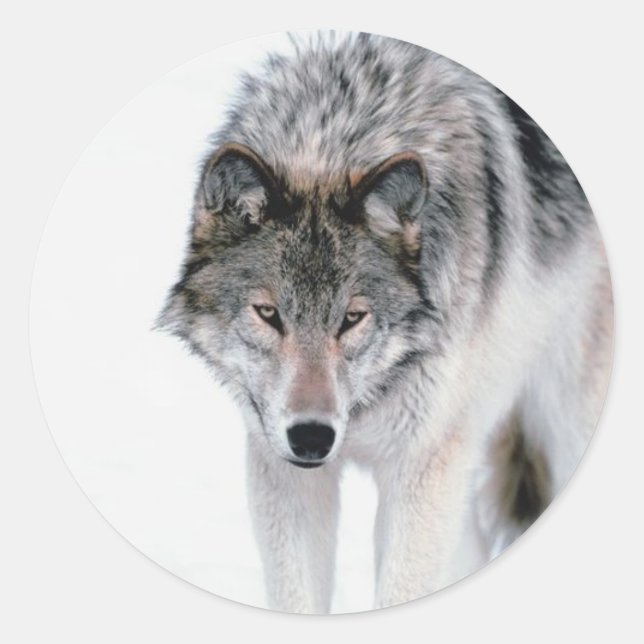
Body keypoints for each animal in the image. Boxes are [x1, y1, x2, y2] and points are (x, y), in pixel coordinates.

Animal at [158, 32, 613, 613]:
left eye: (352, 318)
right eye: (269, 314)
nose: (312, 438)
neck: (334, 139)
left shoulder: (421, 469)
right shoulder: (284, 471)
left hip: (557, 429)